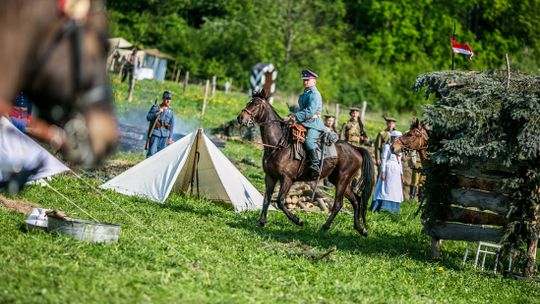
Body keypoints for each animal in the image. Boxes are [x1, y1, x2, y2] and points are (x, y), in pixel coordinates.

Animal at [238, 91, 374, 236]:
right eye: (249, 102)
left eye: (256, 104)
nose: (240, 118)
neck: (279, 145)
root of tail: (356, 149)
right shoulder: (270, 177)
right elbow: (266, 198)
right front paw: (261, 222)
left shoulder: (287, 179)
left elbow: (280, 201)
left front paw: (298, 220)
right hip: (339, 181)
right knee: (356, 200)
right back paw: (360, 229)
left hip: (343, 180)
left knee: (338, 204)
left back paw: (324, 227)